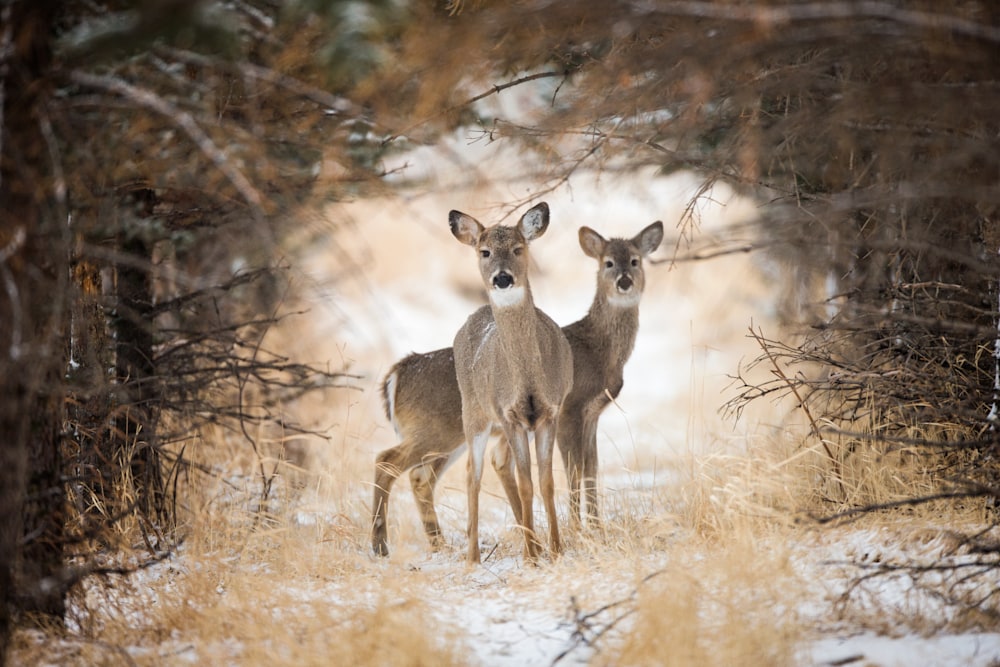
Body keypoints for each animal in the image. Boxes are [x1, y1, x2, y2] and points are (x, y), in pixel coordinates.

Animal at [370, 216, 663, 557]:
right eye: (608, 263)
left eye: (635, 260)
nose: (624, 281)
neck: (598, 350)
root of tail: (395, 375)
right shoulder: (570, 410)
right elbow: (574, 469)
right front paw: (578, 529)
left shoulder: (591, 414)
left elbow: (591, 467)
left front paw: (595, 528)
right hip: (435, 430)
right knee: (388, 462)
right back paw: (381, 544)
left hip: (446, 438)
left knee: (420, 476)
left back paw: (439, 543)